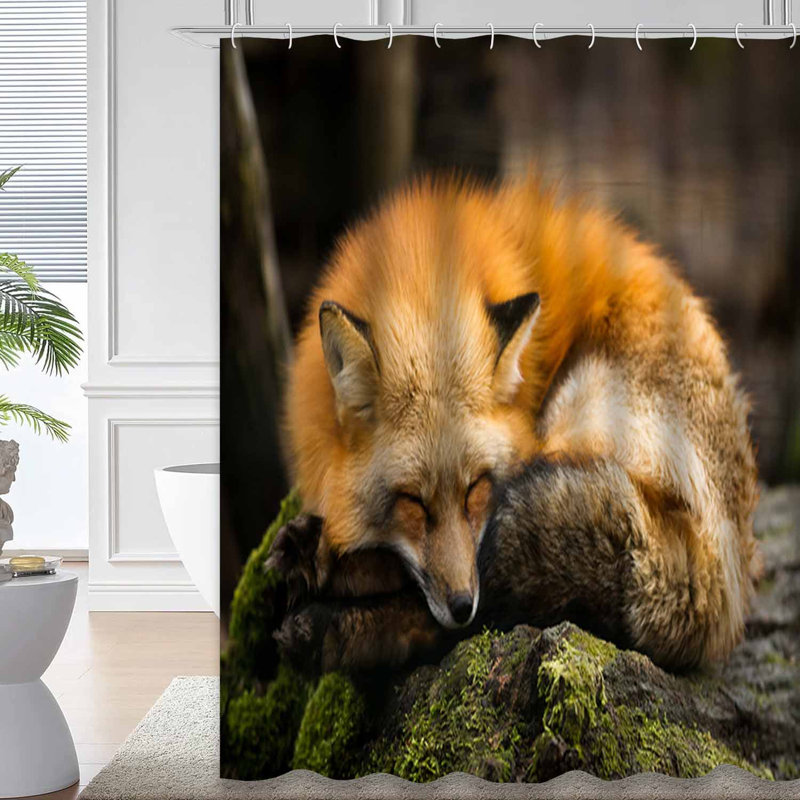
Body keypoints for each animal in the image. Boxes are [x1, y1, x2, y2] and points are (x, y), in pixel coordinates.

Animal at [266, 174, 761, 673]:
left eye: (475, 488)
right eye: (413, 502)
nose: (461, 604)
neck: (422, 269)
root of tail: (726, 575)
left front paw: (329, 564)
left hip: (581, 410)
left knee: (499, 601)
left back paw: (331, 615)